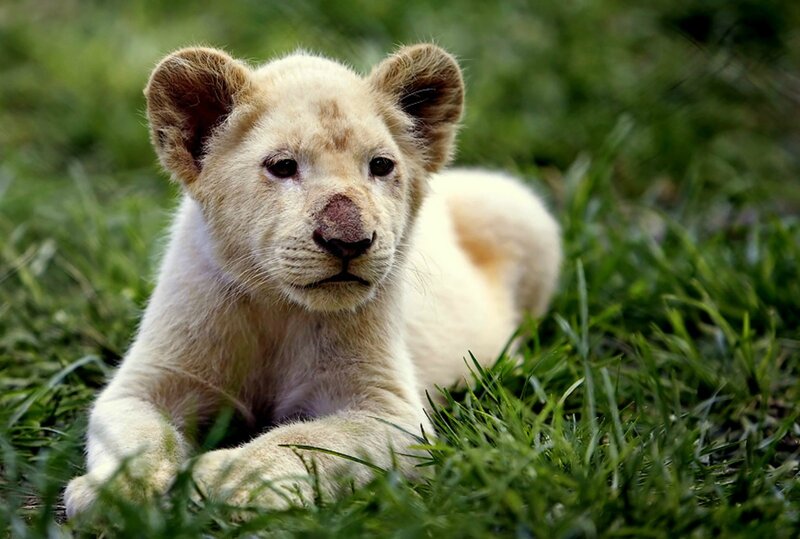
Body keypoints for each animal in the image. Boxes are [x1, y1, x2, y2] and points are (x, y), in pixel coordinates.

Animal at [64, 43, 561, 517]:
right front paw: (114, 493)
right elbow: (138, 435)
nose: (349, 241)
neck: (277, 306)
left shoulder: (389, 410)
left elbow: (305, 440)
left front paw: (229, 479)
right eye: (283, 166)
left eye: (380, 165)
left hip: (518, 206)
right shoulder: (147, 382)